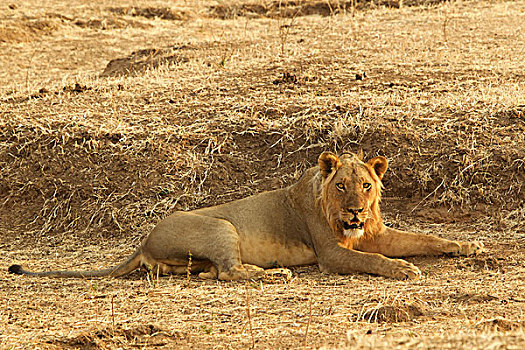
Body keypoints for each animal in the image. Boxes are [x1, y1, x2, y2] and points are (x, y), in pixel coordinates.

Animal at [7, 152, 484, 280]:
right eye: (341, 186)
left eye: (366, 185)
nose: (356, 210)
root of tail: (142, 241)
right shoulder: (331, 254)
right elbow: (373, 260)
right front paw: (403, 269)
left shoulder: (371, 233)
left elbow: (424, 239)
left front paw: (466, 245)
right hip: (222, 225)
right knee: (229, 272)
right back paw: (275, 275)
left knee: (212, 273)